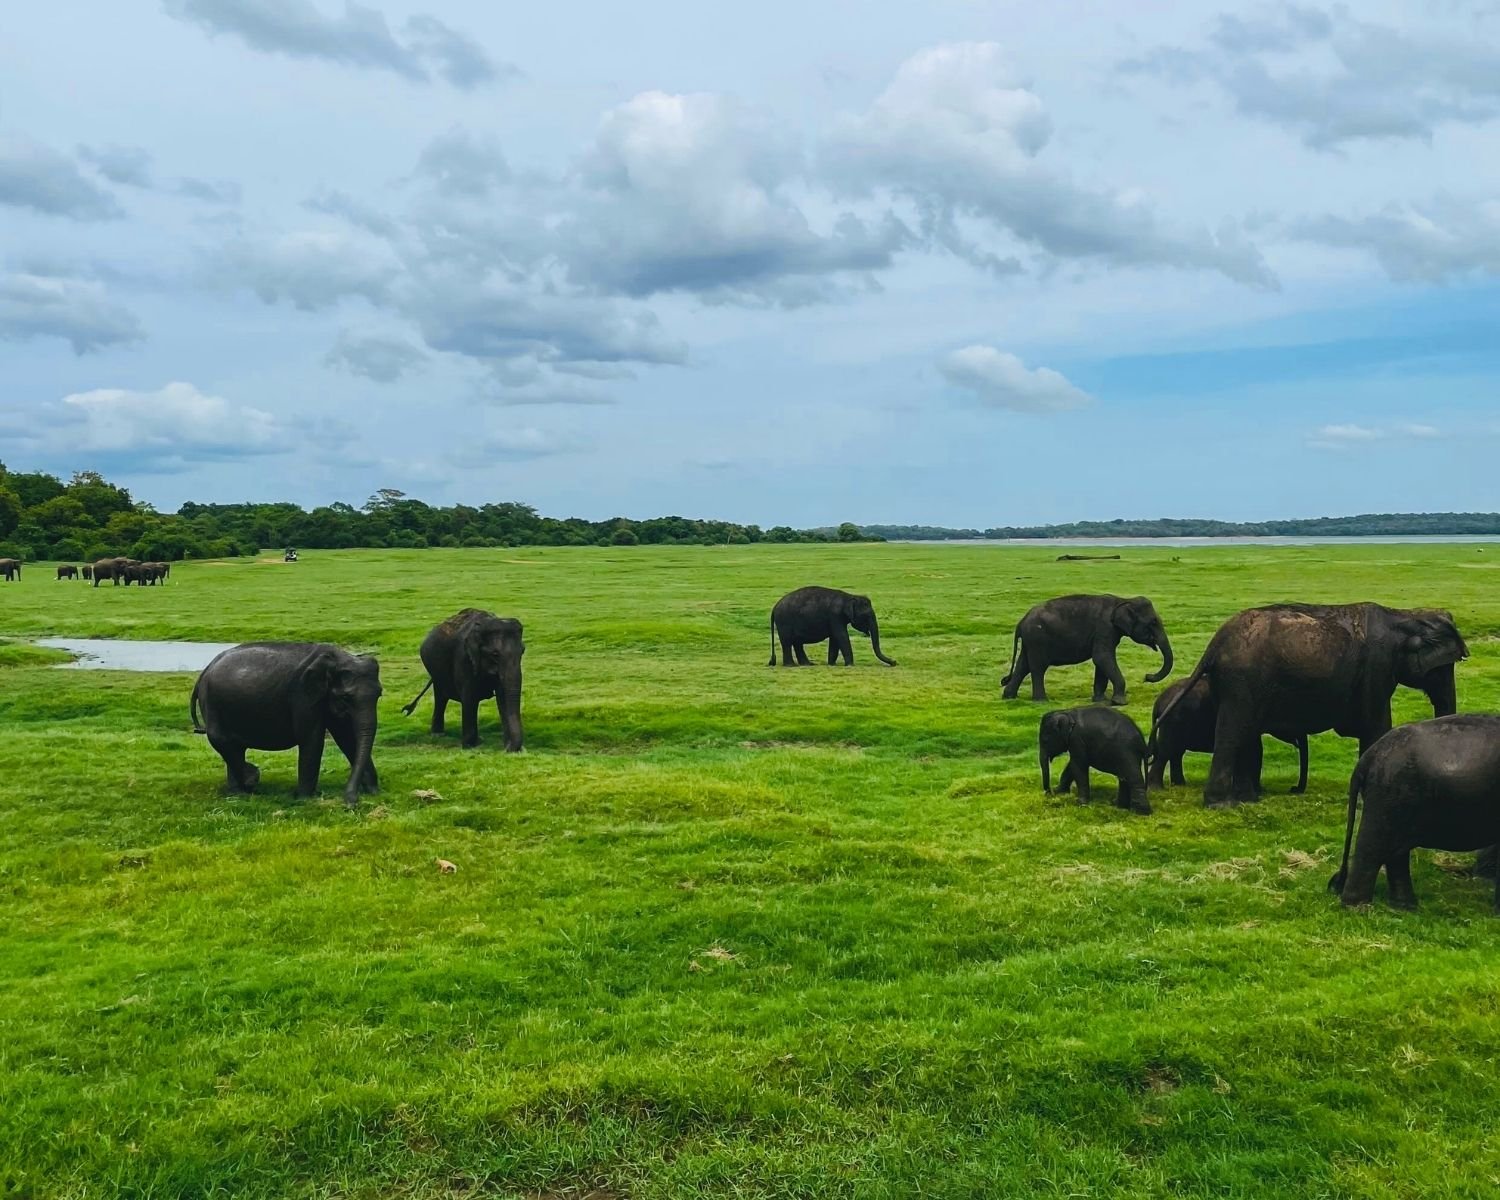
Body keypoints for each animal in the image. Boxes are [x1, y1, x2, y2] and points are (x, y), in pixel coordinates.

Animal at [190, 642, 381, 807]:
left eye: (380, 694)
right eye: (346, 697)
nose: (351, 803)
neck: (339, 657)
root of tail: (205, 670)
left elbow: (346, 738)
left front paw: (373, 792)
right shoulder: (303, 695)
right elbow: (312, 739)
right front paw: (305, 799)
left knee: (233, 745)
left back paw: (239, 792)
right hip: (212, 703)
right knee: (222, 740)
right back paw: (248, 784)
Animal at [402, 609, 525, 750]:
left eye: (523, 651)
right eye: (495, 654)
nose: (507, 747)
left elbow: (502, 696)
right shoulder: (464, 659)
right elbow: (469, 698)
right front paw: (470, 746)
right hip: (435, 671)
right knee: (440, 696)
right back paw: (438, 734)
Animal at [1001, 594, 1172, 704]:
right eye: (1153, 622)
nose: (1147, 677)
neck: (1123, 600)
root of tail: (1021, 622)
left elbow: (1101, 662)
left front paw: (1100, 701)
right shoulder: (1105, 628)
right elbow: (1102, 657)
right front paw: (1119, 702)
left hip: (1030, 641)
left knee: (1023, 665)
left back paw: (1008, 697)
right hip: (1037, 639)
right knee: (1038, 667)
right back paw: (1041, 701)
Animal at [1147, 675, 1309, 793]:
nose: (1294, 789)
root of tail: (1158, 702)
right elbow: (1255, 750)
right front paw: (1259, 791)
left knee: (1176, 752)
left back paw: (1179, 785)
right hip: (1173, 722)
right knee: (1166, 752)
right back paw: (1157, 789)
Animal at [1329, 714, 1500, 911]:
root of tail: (1368, 756)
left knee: (1395, 852)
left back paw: (1405, 907)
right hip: (1388, 792)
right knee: (1373, 848)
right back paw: (1358, 908)